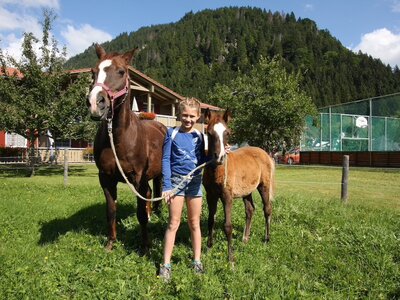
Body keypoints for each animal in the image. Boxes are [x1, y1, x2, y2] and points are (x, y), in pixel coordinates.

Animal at [87, 44, 166, 251]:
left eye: (121, 72)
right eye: (93, 71)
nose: (95, 103)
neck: (118, 138)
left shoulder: (138, 178)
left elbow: (140, 214)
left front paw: (145, 247)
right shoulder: (105, 178)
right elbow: (111, 211)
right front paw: (110, 244)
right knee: (149, 194)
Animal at [203, 109, 276, 262]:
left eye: (227, 133)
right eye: (209, 132)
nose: (219, 157)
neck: (217, 171)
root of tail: (265, 153)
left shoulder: (227, 197)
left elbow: (227, 226)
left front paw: (230, 258)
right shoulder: (210, 196)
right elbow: (210, 221)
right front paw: (208, 249)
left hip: (264, 186)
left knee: (267, 209)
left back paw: (267, 239)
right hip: (246, 191)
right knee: (250, 210)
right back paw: (245, 238)